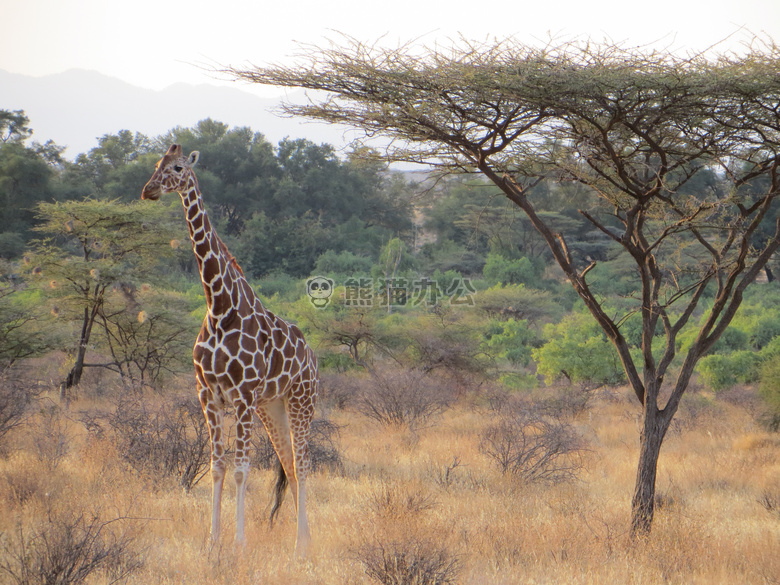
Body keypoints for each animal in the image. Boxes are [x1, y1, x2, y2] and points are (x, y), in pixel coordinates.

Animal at [142, 144, 318, 556]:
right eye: (156, 165)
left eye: (178, 168)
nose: (148, 190)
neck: (220, 307)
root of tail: (312, 356)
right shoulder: (208, 394)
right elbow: (217, 466)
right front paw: (213, 541)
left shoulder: (242, 396)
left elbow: (241, 468)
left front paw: (238, 542)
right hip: (273, 407)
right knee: (289, 464)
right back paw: (299, 538)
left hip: (301, 401)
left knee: (303, 464)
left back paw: (302, 545)